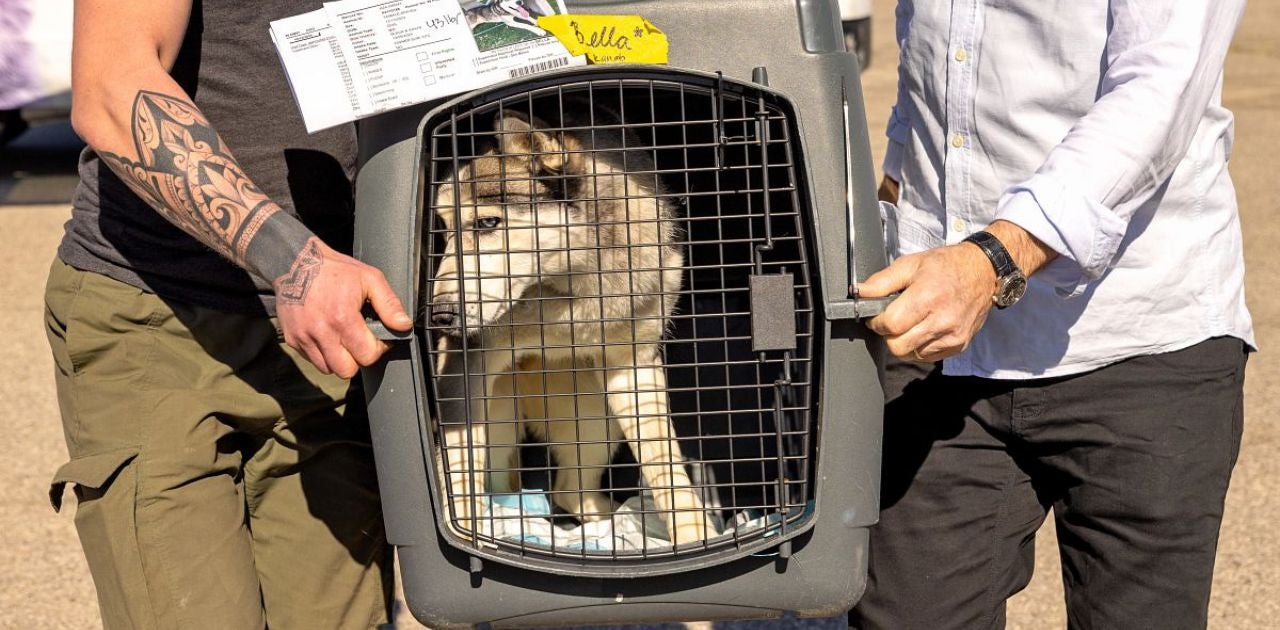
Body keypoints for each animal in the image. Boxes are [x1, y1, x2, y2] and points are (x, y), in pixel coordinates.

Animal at [424, 105, 716, 542]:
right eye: (444, 232)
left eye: (488, 224)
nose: (439, 317)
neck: (570, 289)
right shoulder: (466, 368)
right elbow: (462, 484)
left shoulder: (634, 369)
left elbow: (670, 475)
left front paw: (699, 539)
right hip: (501, 420)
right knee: (508, 485)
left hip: (596, 414)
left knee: (568, 489)